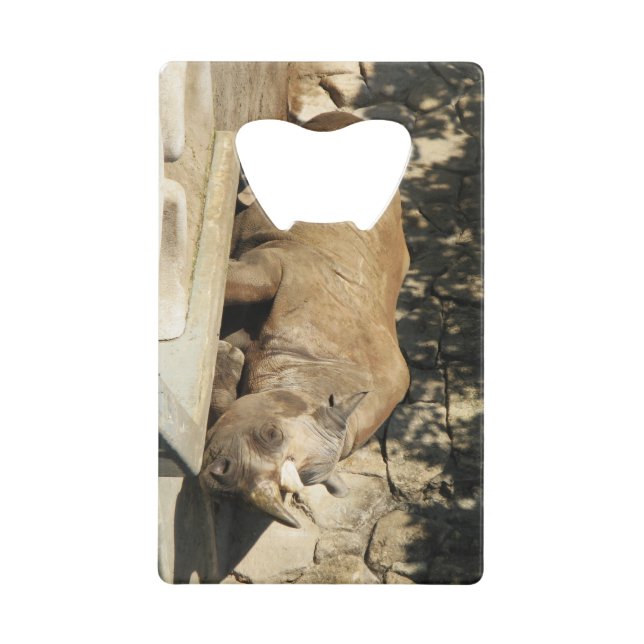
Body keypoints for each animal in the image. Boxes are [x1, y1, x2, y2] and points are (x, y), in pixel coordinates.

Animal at [199, 112, 410, 528]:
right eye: (270, 434)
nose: (227, 487)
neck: (309, 384)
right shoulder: (291, 265)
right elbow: (252, 280)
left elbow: (227, 409)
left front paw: (228, 359)